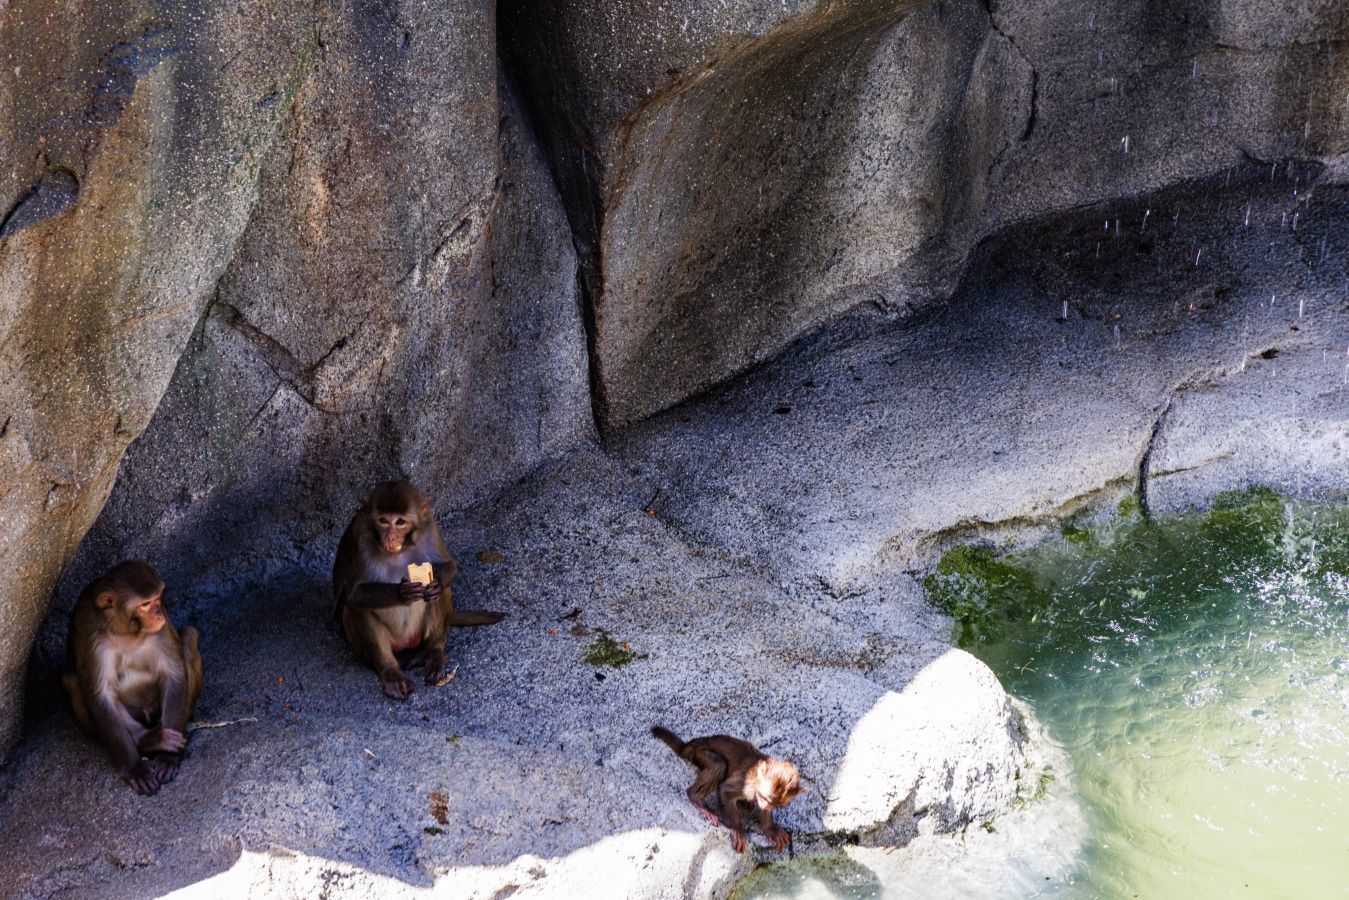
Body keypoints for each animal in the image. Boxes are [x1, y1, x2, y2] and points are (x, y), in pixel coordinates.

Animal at [62, 558, 202, 798]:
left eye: (157, 598)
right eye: (145, 604)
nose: (159, 614)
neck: (126, 633)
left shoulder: (161, 629)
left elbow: (173, 675)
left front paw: (168, 757)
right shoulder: (92, 637)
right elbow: (100, 696)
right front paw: (135, 768)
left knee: (189, 637)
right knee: (72, 680)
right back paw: (148, 740)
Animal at [334, 483, 504, 701]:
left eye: (400, 522)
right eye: (383, 521)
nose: (390, 537)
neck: (400, 548)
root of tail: (406, 643)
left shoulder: (430, 528)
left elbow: (450, 567)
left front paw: (435, 583)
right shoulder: (360, 539)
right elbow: (355, 594)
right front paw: (401, 593)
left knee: (441, 594)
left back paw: (433, 652)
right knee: (357, 608)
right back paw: (391, 673)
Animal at [652, 728, 798, 858]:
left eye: (773, 803)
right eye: (765, 798)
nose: (765, 805)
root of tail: (696, 742)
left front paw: (771, 829)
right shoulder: (748, 784)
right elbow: (724, 791)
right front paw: (737, 829)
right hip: (700, 753)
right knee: (719, 764)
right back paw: (697, 800)